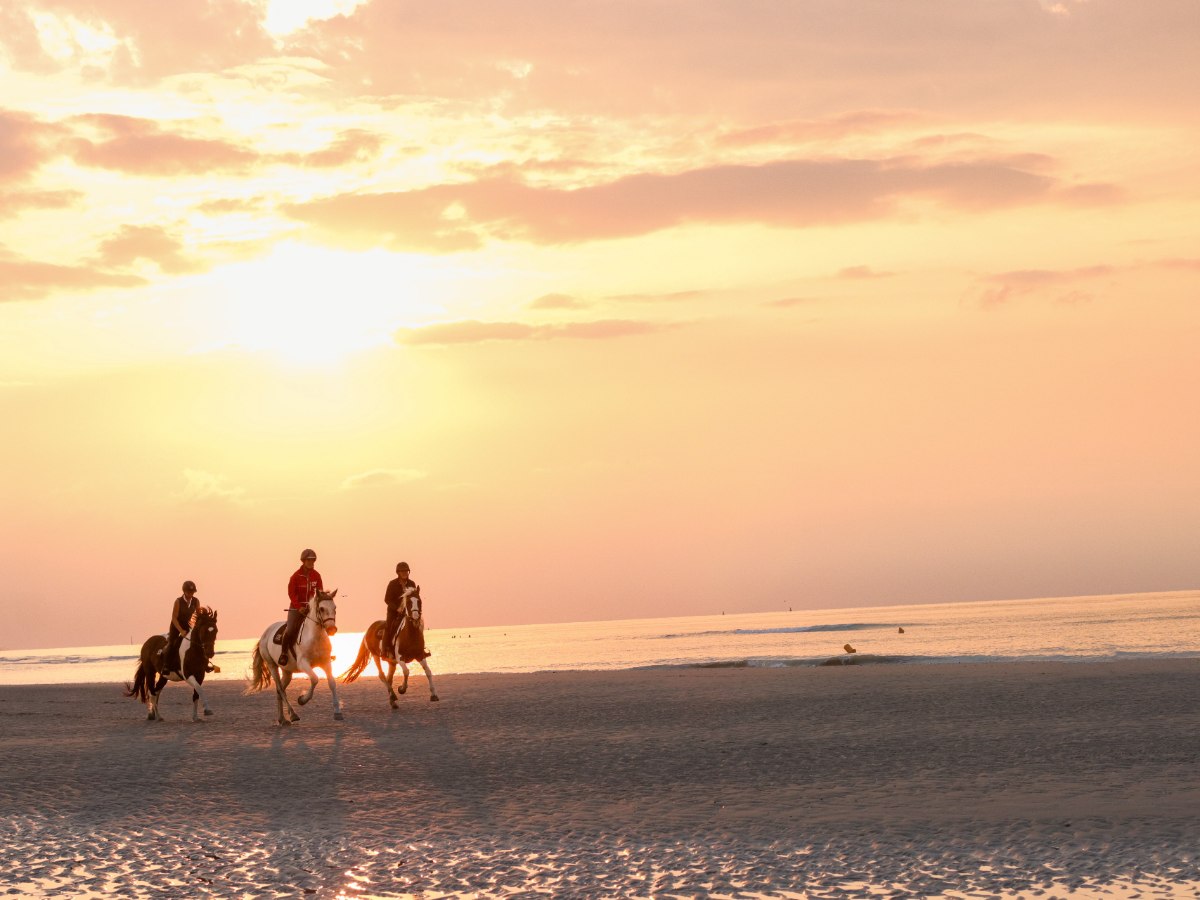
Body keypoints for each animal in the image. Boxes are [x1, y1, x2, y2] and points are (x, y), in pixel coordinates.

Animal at [244, 592, 345, 724]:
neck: (315, 637)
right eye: (322, 608)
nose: (332, 629)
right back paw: (293, 714)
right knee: (280, 689)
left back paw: (282, 719)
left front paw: (337, 712)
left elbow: (332, 683)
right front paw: (302, 700)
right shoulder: (303, 664)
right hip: (272, 666)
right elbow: (314, 679)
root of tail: (264, 635)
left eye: (335, 608)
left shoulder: (326, 662)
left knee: (279, 690)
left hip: (287, 671)